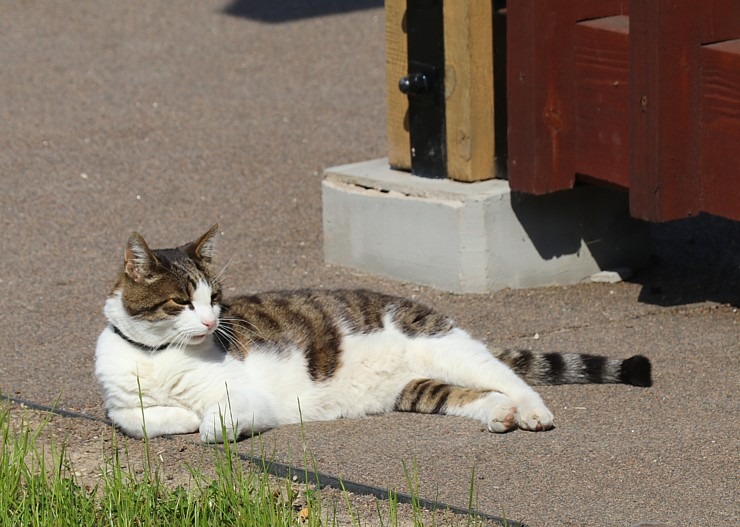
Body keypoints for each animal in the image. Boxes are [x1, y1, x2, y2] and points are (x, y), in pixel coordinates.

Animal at [94, 225, 652, 444]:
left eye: (215, 298)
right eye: (182, 302)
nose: (213, 322)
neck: (157, 356)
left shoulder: (244, 396)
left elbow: (217, 421)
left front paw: (207, 423)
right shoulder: (121, 407)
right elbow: (140, 421)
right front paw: (180, 417)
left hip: (445, 347)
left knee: (510, 377)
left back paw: (532, 411)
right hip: (417, 390)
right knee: (474, 394)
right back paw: (502, 415)